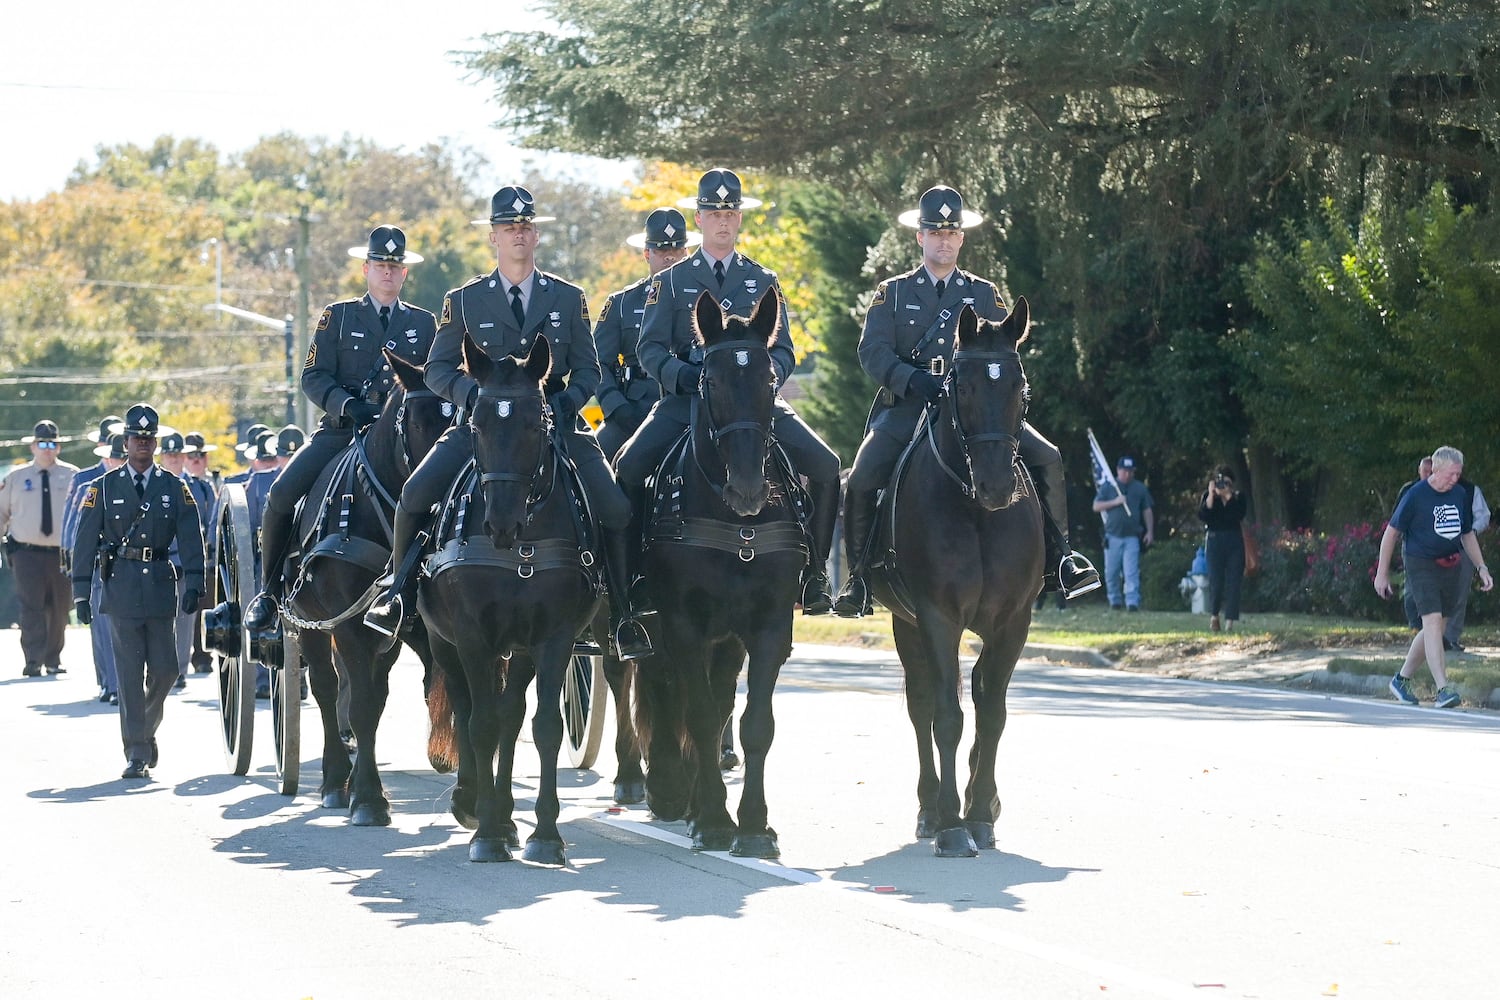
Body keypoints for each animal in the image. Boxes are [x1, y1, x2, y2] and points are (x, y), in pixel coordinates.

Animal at [279, 355, 447, 827]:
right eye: (419, 421)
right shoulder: (349, 625)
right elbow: (361, 705)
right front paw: (369, 798)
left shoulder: (394, 628)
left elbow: (380, 698)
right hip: (310, 624)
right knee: (325, 688)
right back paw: (336, 780)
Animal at [420, 332, 600, 863]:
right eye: (476, 424)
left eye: (534, 423)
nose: (501, 523)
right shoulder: (471, 636)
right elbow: (478, 725)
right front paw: (485, 833)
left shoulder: (554, 639)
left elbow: (542, 727)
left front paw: (545, 833)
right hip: (444, 643)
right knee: (467, 710)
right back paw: (474, 804)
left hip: (518, 649)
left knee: (509, 715)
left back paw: (504, 816)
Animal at [633, 289, 810, 863]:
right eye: (708, 381)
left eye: (770, 381)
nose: (749, 489)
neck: (734, 522)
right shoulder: (682, 624)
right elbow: (700, 712)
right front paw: (712, 820)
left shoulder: (769, 627)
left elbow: (754, 723)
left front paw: (752, 825)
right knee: (667, 688)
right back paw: (670, 786)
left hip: (727, 639)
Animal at [870, 299, 1044, 863]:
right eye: (961, 387)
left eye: (1019, 387)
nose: (997, 485)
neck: (975, 512)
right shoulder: (937, 617)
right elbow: (947, 715)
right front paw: (951, 824)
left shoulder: (1013, 621)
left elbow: (993, 713)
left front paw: (981, 810)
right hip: (905, 624)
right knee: (921, 703)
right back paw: (931, 808)